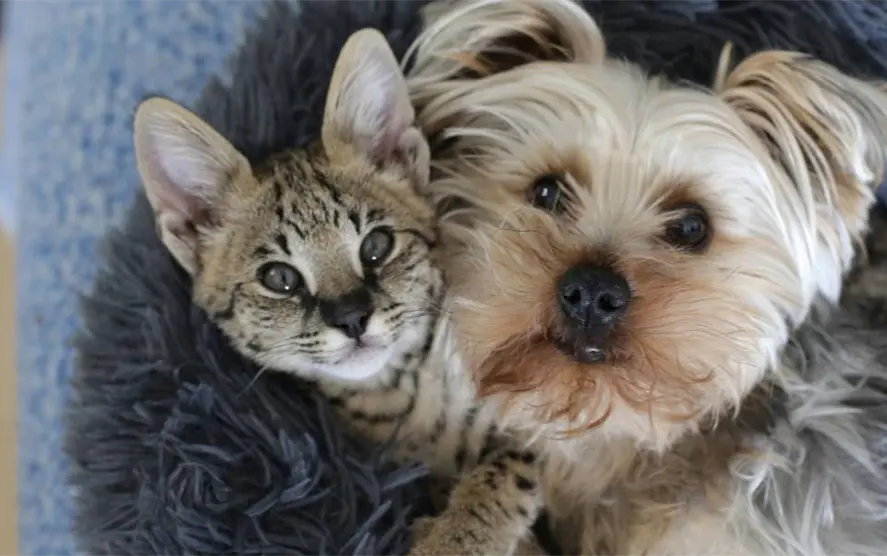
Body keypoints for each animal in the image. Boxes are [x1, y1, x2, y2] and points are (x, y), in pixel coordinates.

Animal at [132, 28, 547, 556]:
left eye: (376, 246)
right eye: (280, 279)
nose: (351, 318)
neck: (403, 392)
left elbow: (509, 467)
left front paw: (457, 536)